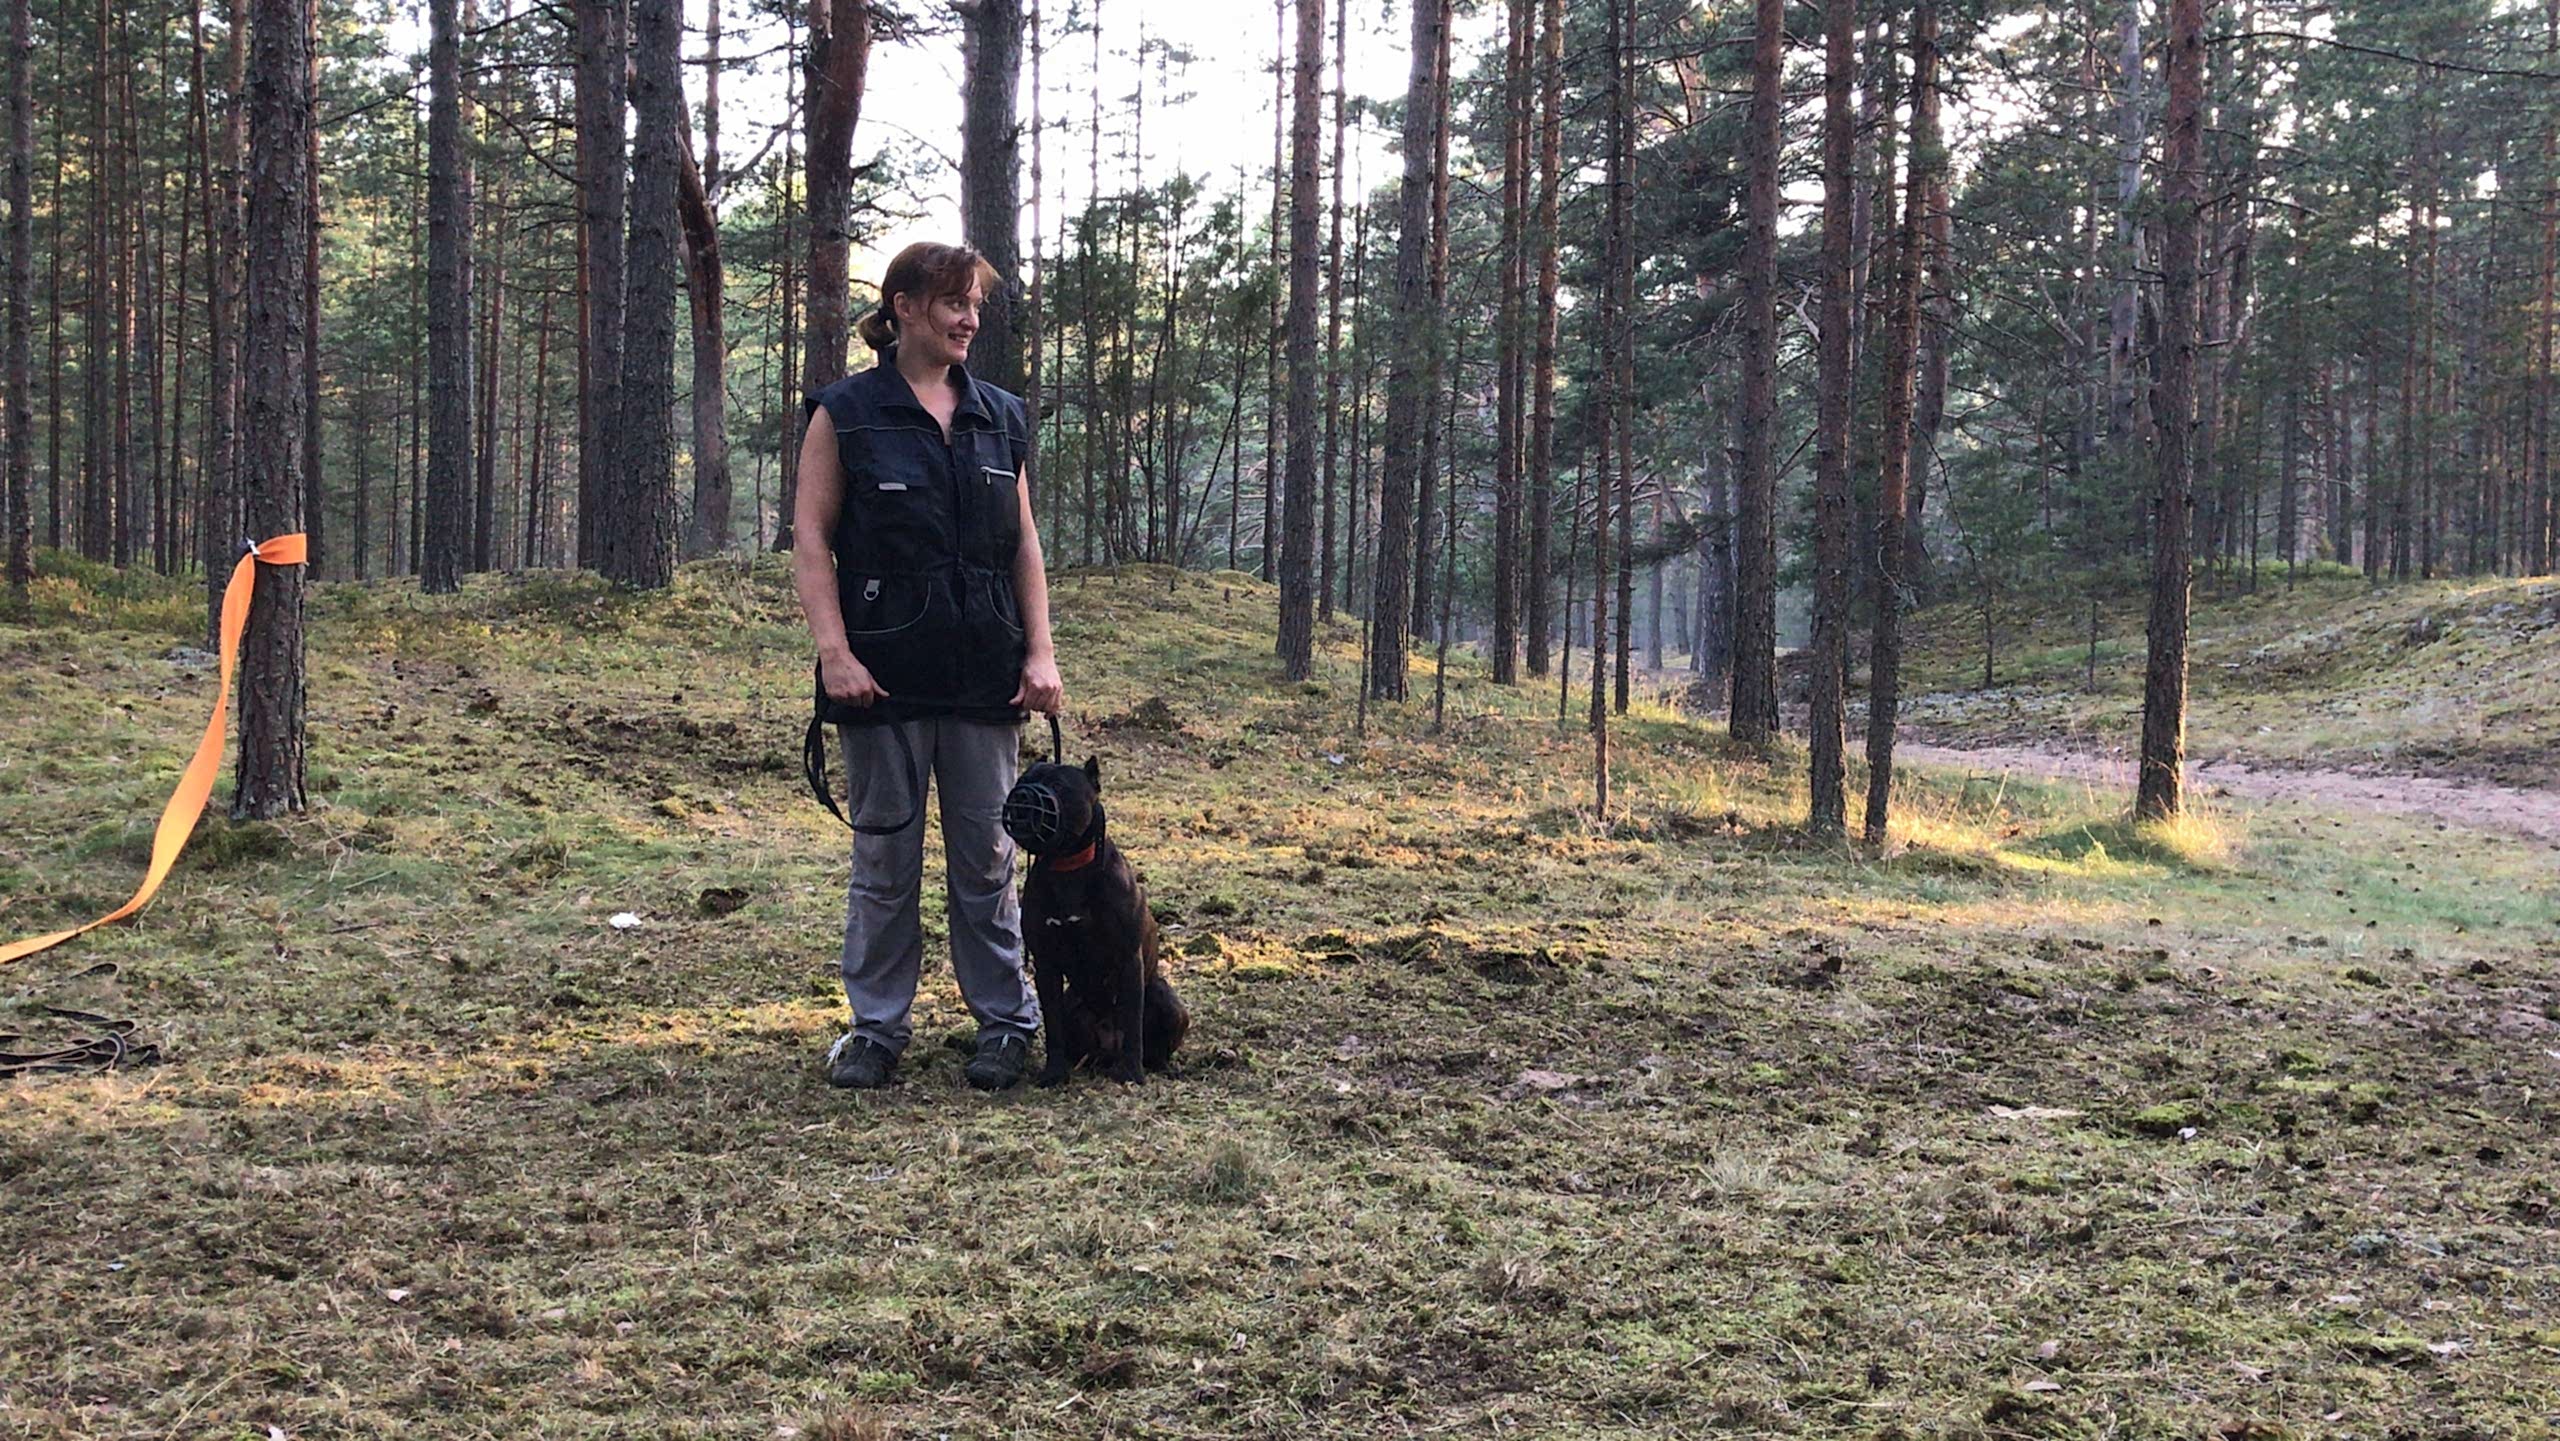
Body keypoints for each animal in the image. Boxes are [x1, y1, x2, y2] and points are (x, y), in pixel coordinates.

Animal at [1002, 755, 1189, 1086]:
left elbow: (1133, 1023)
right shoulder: (1046, 965)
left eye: (1060, 785)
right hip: (1072, 1004)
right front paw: (1054, 1073)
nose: (1021, 796)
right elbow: (1053, 1027)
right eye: (1021, 781)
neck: (1067, 865)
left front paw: (1131, 1073)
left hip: (1166, 998)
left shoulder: (1129, 959)